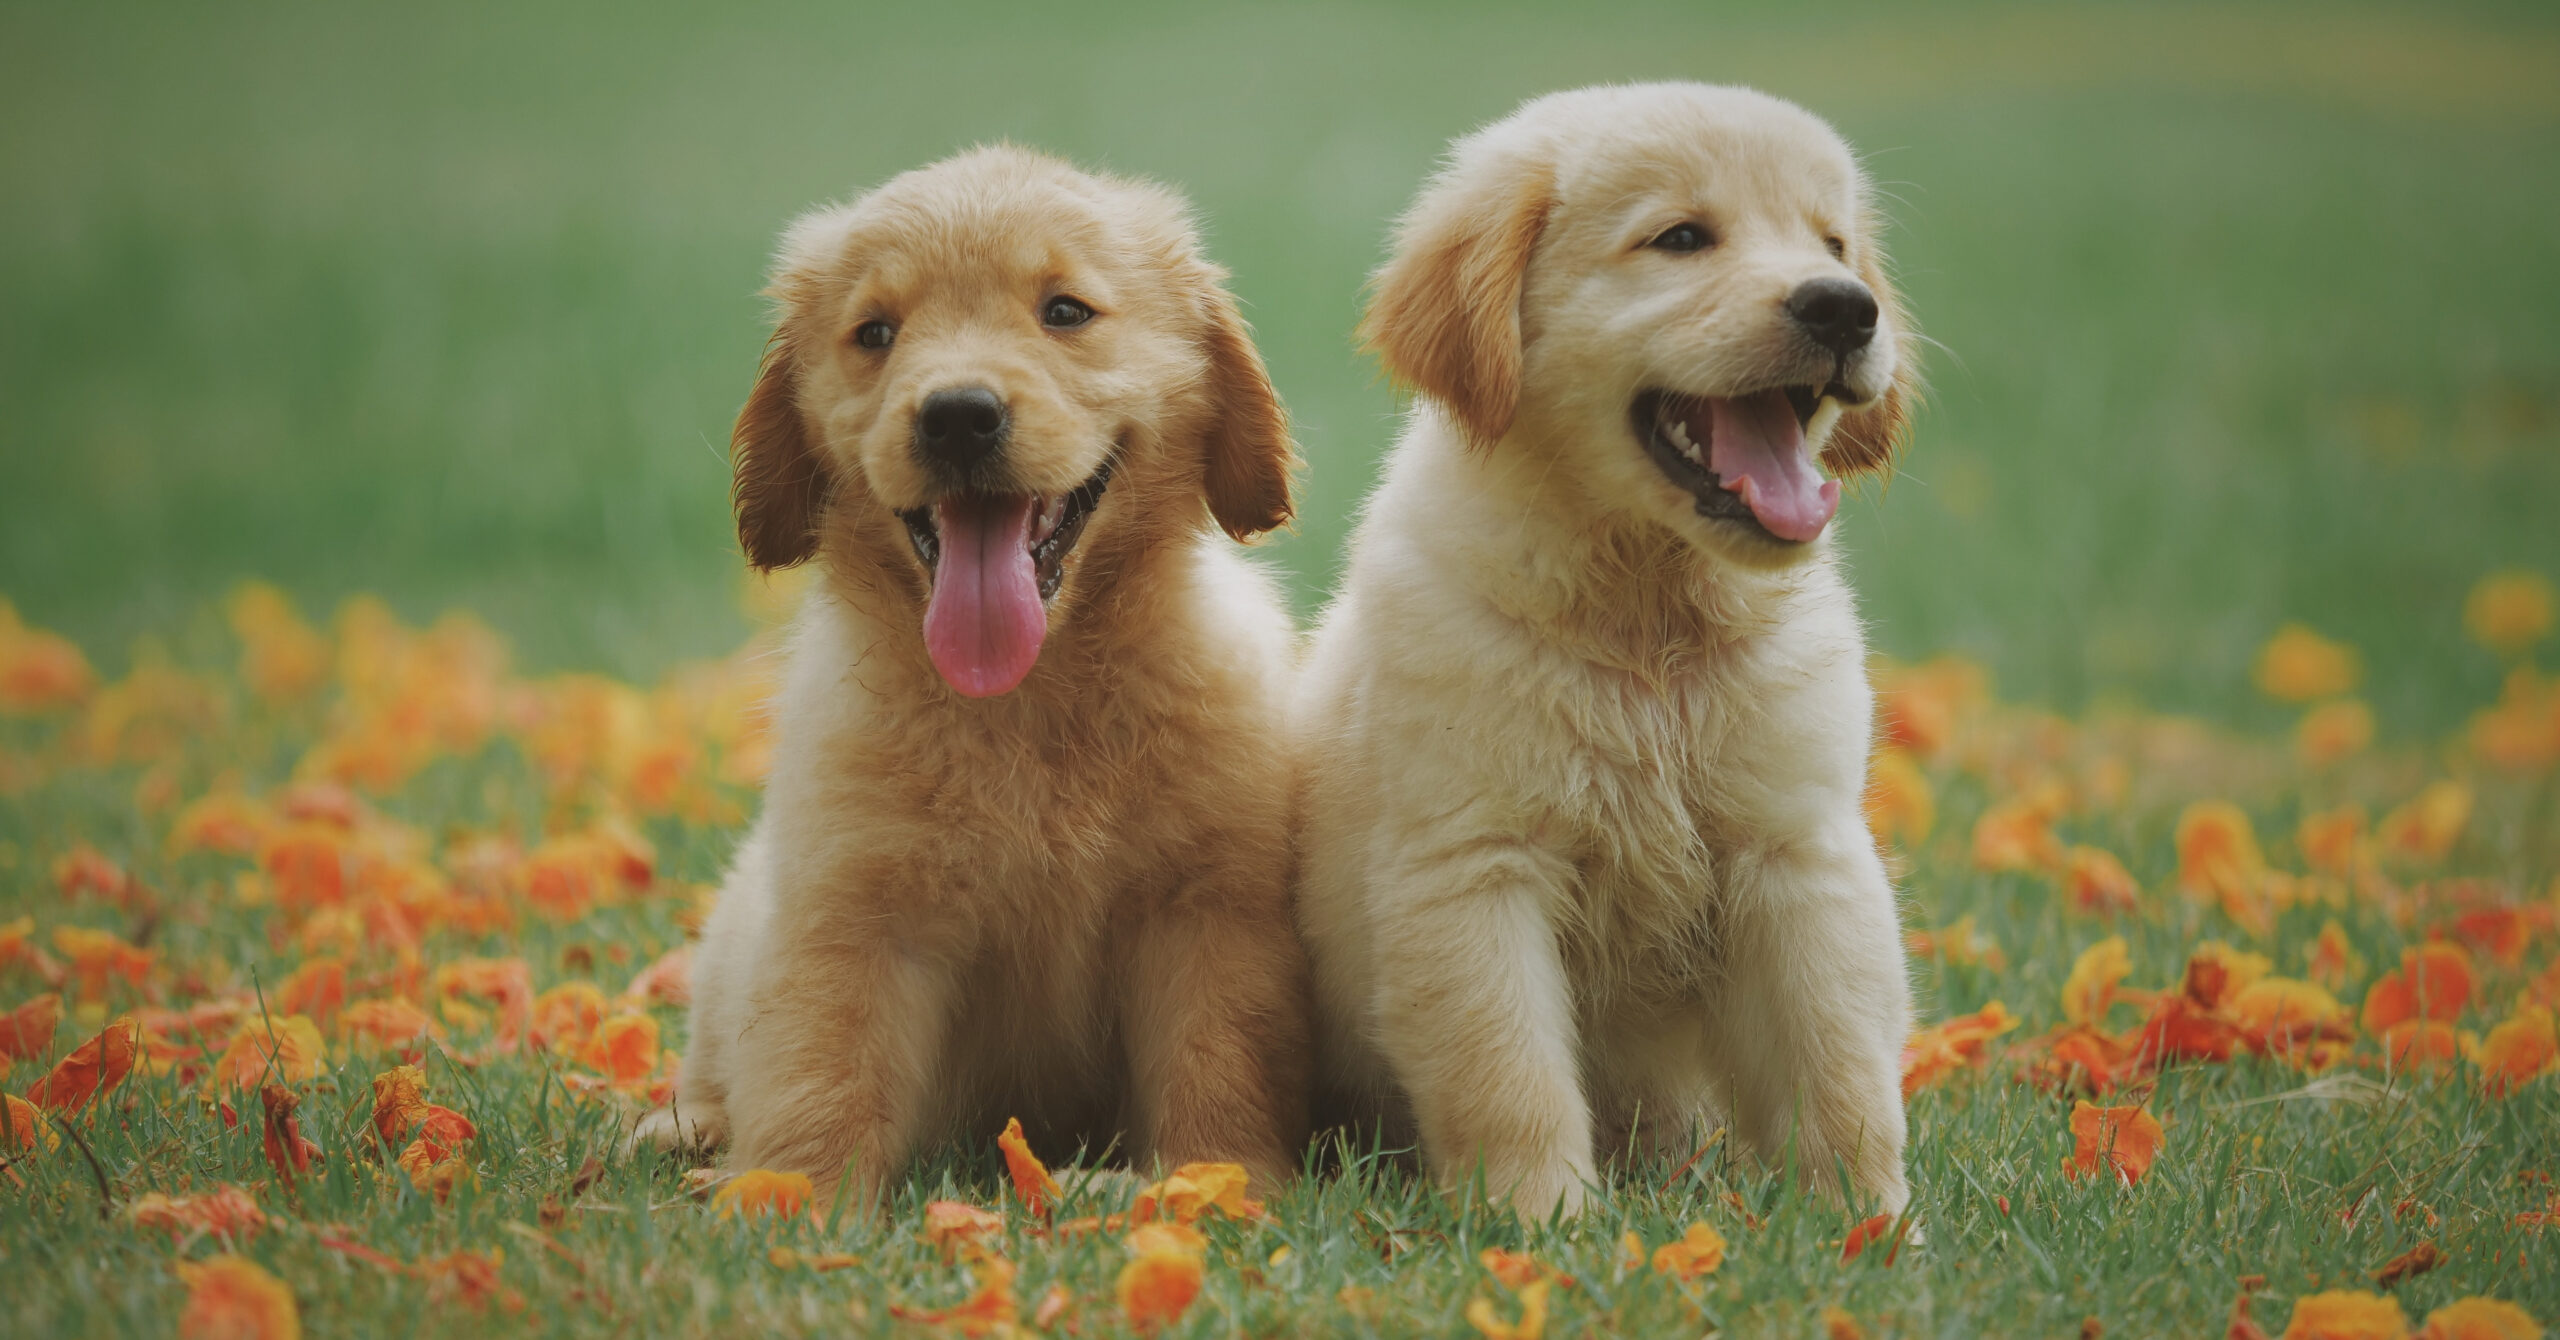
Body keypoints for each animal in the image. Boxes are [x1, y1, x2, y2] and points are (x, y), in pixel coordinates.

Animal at [637, 144, 1310, 1193]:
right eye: (875, 333)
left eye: (1065, 311)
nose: (957, 417)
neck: (1027, 699)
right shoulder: (853, 911)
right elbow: (820, 1066)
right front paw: (787, 1195)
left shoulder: (1206, 908)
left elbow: (1217, 1058)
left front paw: (1214, 1181)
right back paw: (685, 1130)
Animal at [1300, 78, 1925, 1219]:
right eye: (1679, 239)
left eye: (1834, 244)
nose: (1844, 308)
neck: (1646, 619)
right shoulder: (1474, 867)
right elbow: (1508, 1072)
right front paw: (1539, 1224)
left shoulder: (1797, 853)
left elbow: (1841, 1063)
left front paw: (1868, 1223)